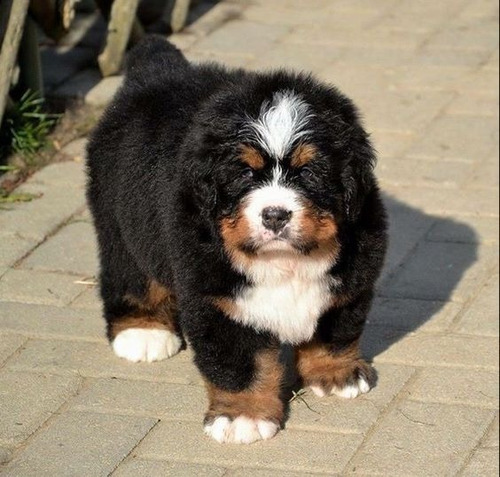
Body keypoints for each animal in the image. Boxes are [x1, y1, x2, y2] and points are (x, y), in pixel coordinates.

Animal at [88, 36, 388, 442]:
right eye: (244, 173)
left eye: (308, 172)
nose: (275, 214)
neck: (284, 260)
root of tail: (158, 68)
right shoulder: (218, 301)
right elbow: (241, 365)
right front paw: (243, 416)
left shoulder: (351, 279)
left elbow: (336, 330)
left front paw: (336, 374)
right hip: (122, 223)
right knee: (129, 275)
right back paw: (143, 331)